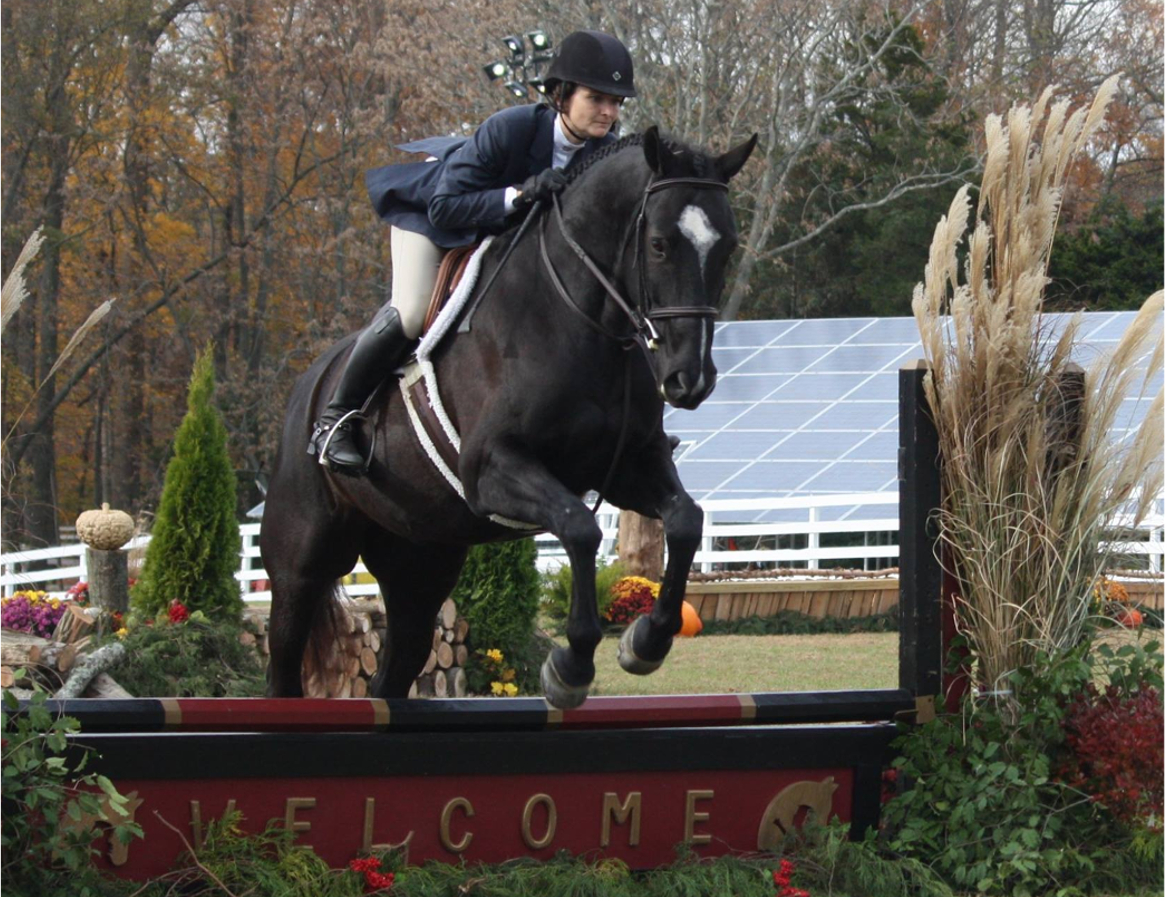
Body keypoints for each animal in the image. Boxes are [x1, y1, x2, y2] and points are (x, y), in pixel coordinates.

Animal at [261, 126, 760, 709]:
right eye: (659, 244)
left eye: (726, 247)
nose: (690, 380)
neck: (582, 318)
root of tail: (309, 384)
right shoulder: (492, 468)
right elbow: (579, 528)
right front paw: (570, 666)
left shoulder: (628, 465)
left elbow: (684, 519)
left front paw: (646, 641)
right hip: (301, 562)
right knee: (285, 663)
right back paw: (335, 434)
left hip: (420, 562)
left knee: (395, 669)